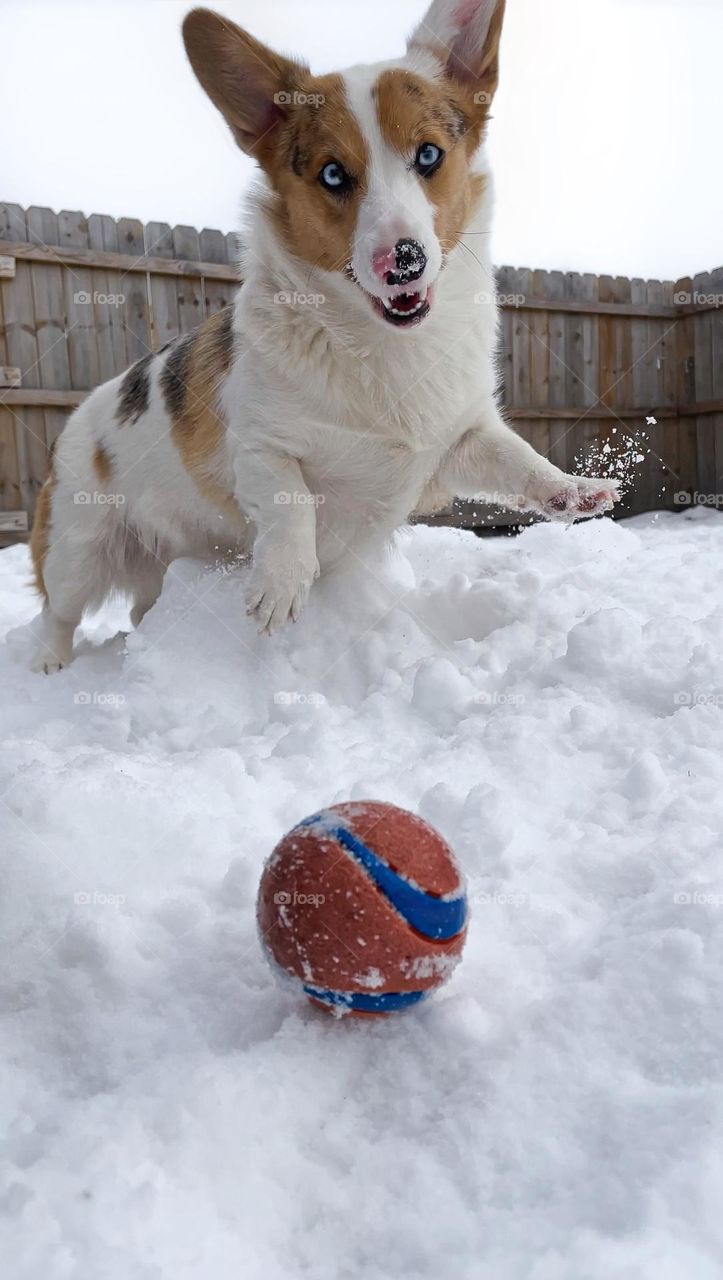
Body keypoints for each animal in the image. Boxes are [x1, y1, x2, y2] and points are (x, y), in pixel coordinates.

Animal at [26, 0, 614, 675]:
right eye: (333, 174)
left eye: (429, 156)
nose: (403, 261)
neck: (380, 345)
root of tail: (78, 416)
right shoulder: (260, 448)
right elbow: (292, 504)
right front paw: (281, 587)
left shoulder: (461, 439)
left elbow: (517, 458)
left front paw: (571, 491)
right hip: (76, 550)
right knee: (58, 613)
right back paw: (49, 666)